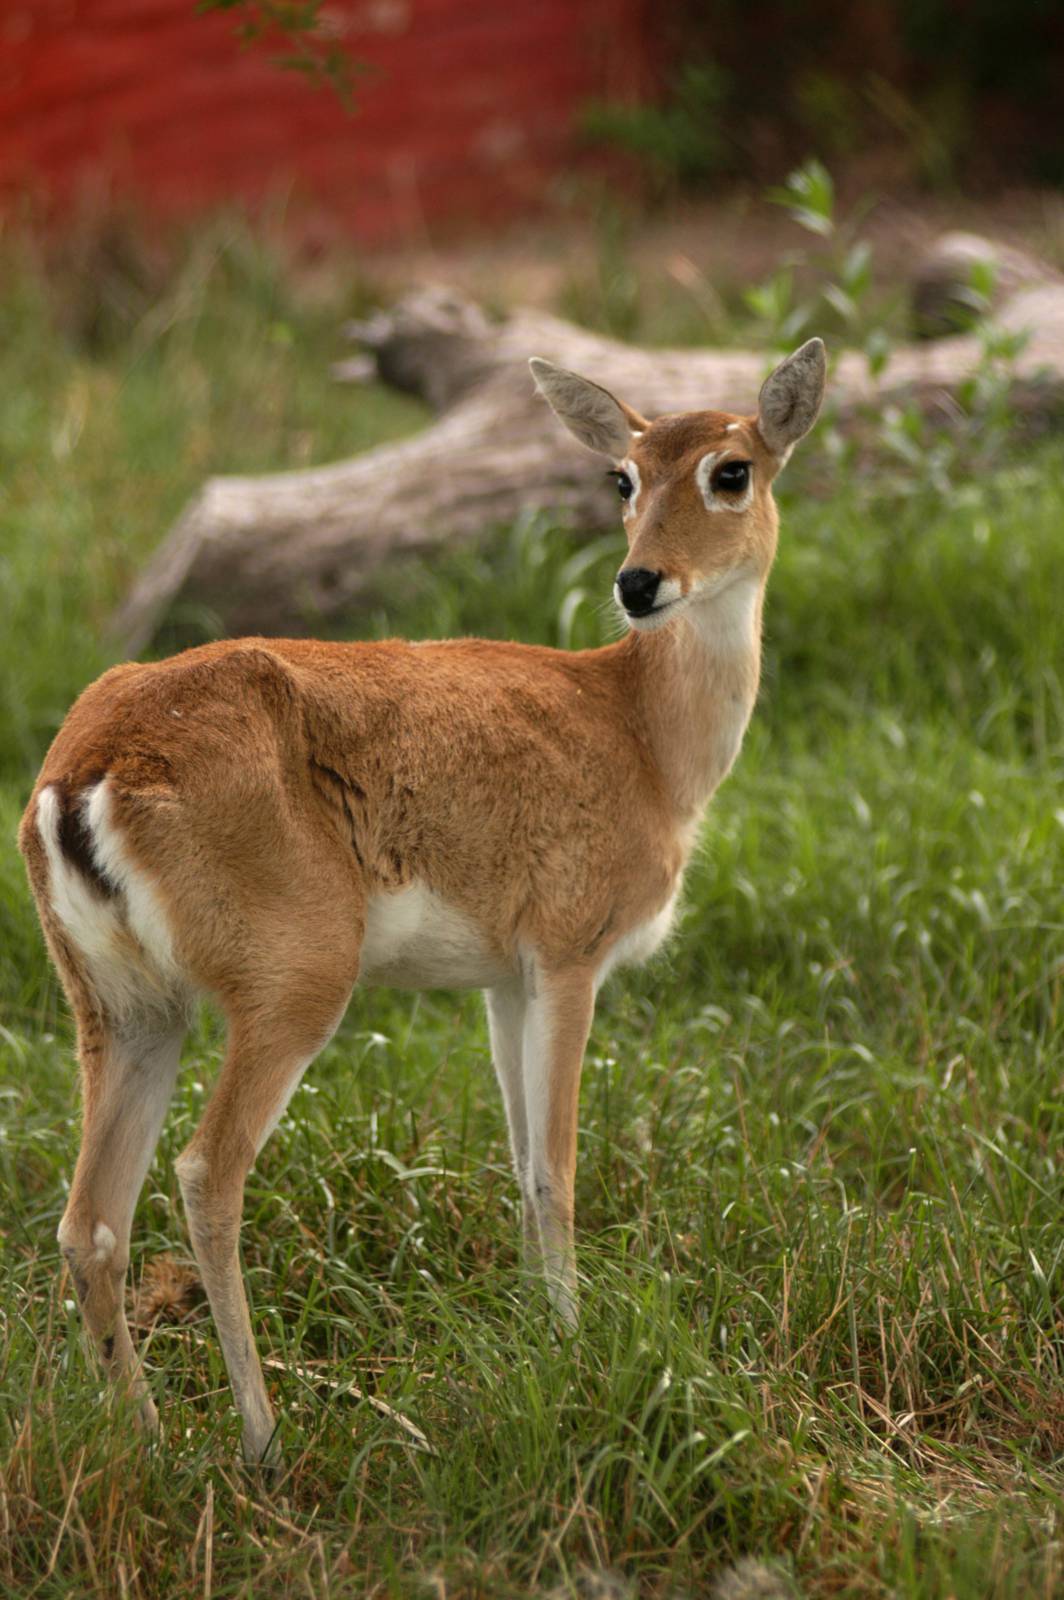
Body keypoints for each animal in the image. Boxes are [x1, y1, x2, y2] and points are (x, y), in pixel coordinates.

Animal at [18, 339, 826, 1464]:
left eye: (731, 470)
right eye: (621, 478)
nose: (639, 582)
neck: (644, 738)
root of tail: (81, 774)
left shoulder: (501, 975)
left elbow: (520, 1160)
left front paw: (542, 1342)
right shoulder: (569, 948)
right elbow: (558, 1167)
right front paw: (575, 1352)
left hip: (119, 1002)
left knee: (90, 1216)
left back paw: (144, 1439)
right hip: (295, 973)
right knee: (205, 1171)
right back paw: (263, 1439)